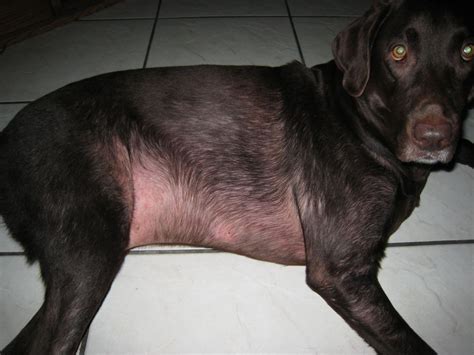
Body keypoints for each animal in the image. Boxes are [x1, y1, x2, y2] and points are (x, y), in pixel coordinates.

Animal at [0, 0, 472, 354]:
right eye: (397, 52)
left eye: (468, 53)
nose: (435, 137)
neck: (360, 120)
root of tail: (5, 137)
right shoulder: (341, 268)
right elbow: (410, 343)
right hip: (91, 250)